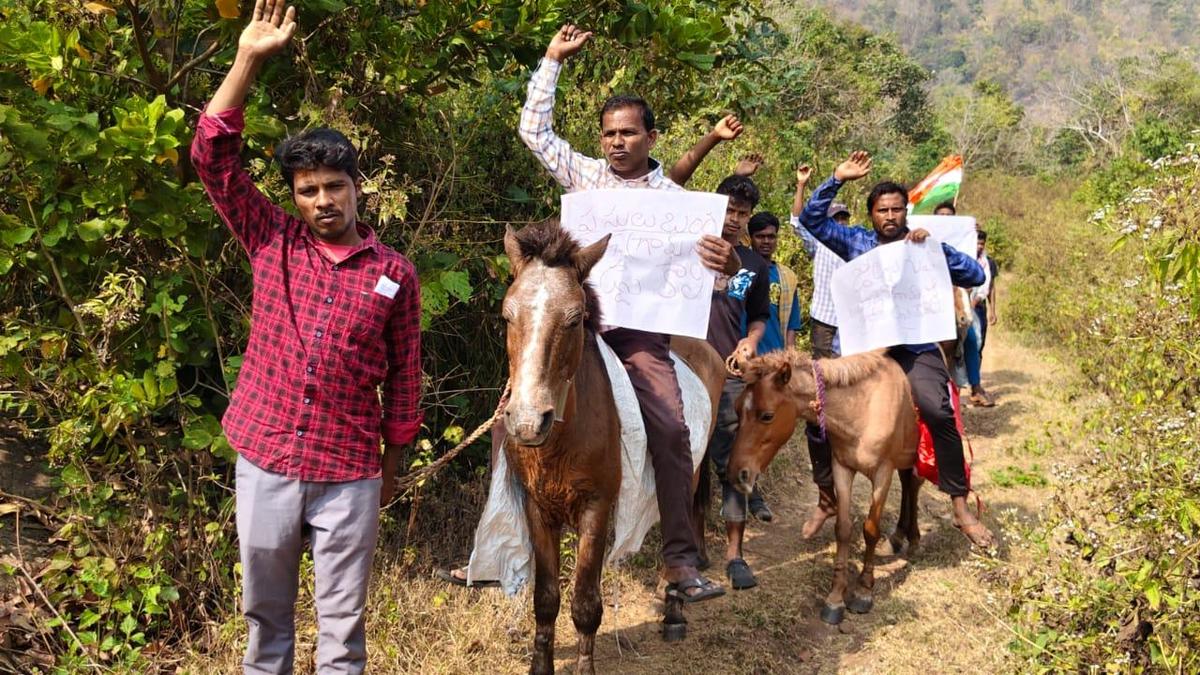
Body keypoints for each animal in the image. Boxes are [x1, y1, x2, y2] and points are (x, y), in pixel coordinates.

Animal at [500, 221, 725, 674]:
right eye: (507, 315)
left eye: (574, 319)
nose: (528, 421)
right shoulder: (536, 507)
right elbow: (545, 599)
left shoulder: (597, 507)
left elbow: (585, 605)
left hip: (690, 470)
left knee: (684, 522)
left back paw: (676, 603)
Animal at [726, 349, 923, 625]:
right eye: (736, 409)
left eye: (767, 415)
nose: (737, 474)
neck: (863, 410)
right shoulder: (842, 468)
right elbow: (843, 529)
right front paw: (836, 597)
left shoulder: (882, 473)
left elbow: (871, 529)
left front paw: (863, 591)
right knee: (907, 486)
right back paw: (899, 537)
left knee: (912, 486)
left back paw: (912, 539)